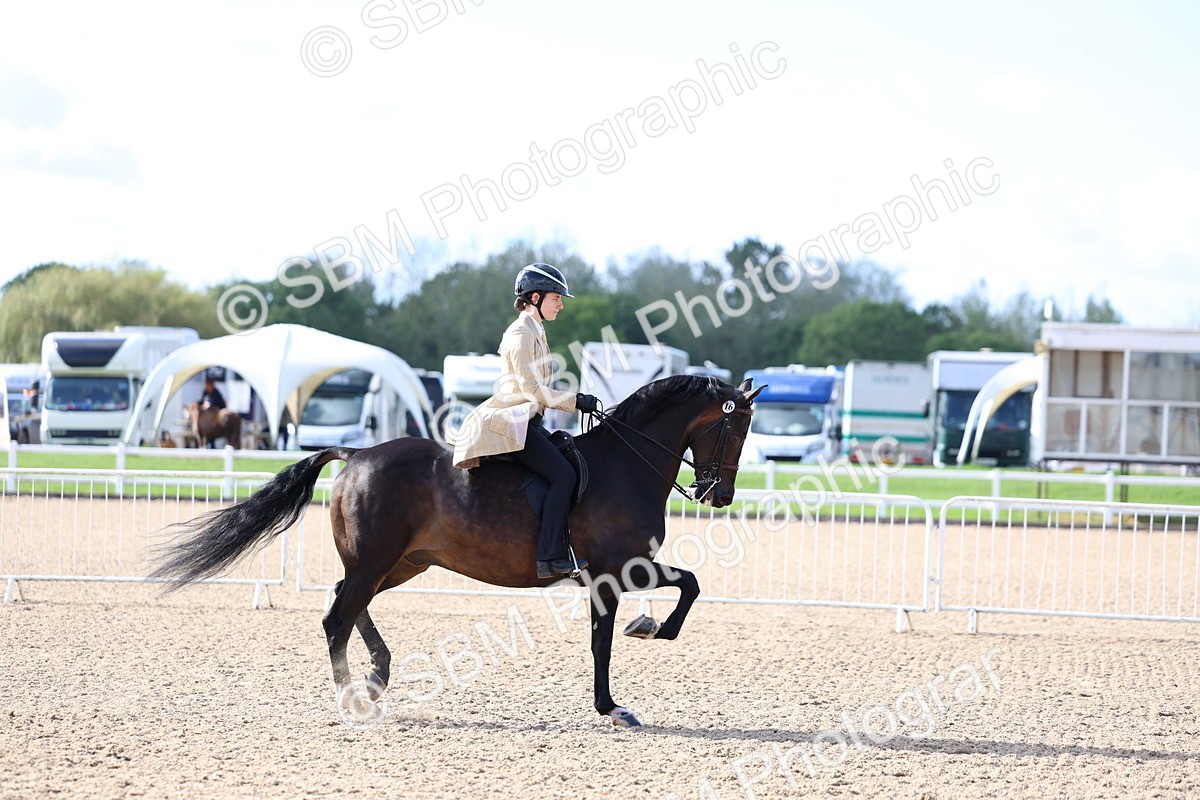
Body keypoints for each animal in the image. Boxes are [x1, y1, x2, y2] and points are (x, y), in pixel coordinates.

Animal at [153, 375, 763, 726]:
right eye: (735, 431)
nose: (721, 495)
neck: (625, 464)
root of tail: (357, 454)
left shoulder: (625, 569)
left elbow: (686, 584)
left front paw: (649, 629)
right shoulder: (612, 571)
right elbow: (608, 640)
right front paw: (614, 703)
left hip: (398, 563)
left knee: (349, 604)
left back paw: (377, 675)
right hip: (379, 561)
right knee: (337, 617)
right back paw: (353, 696)